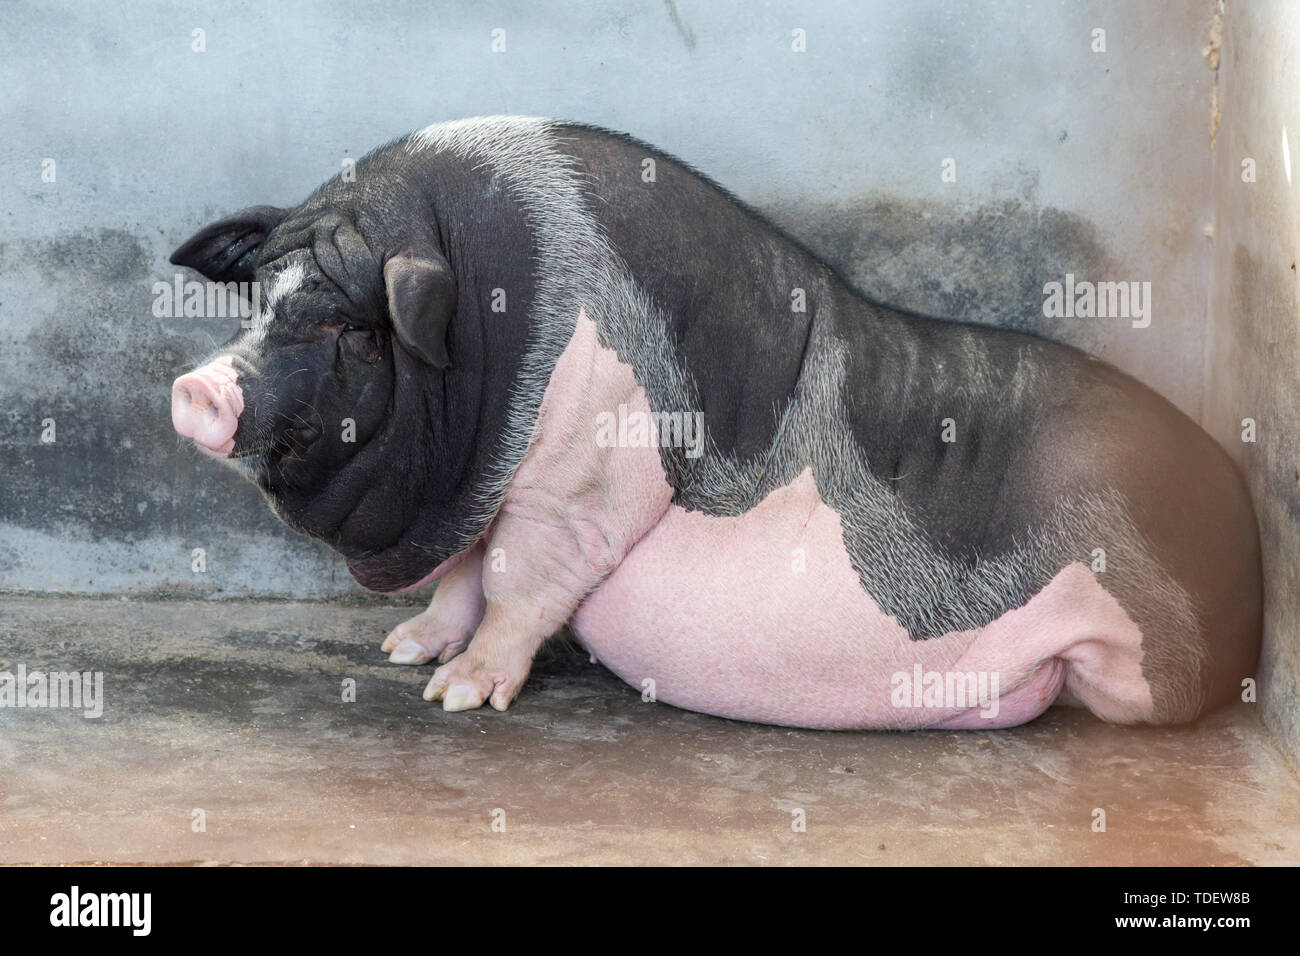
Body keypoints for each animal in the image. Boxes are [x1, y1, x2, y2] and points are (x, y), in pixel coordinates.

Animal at [170, 117, 1258, 733]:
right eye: (260, 296)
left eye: (355, 327)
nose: (196, 387)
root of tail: (1246, 537)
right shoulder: (492, 480)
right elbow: (465, 572)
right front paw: (406, 651)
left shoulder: (582, 476)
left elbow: (518, 577)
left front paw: (457, 697)